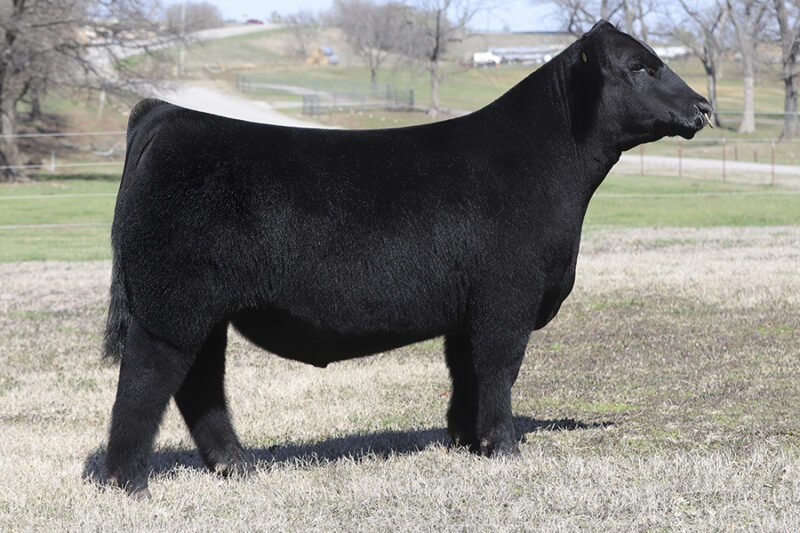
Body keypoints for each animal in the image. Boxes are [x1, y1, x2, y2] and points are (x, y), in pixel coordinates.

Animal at [103, 20, 712, 498]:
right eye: (638, 66)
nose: (704, 106)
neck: (546, 164)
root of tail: (169, 114)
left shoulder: (468, 310)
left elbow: (464, 371)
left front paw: (467, 442)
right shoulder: (507, 296)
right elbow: (499, 367)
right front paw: (504, 447)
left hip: (203, 315)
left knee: (199, 385)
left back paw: (237, 466)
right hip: (171, 310)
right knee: (146, 382)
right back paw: (130, 484)